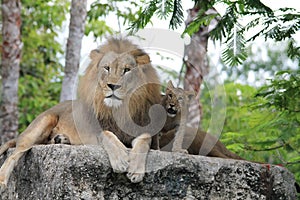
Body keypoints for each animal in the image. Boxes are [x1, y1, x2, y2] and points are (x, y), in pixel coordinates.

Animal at [0, 38, 164, 185]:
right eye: (107, 68)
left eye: (127, 70)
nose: (113, 86)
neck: (119, 110)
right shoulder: (93, 134)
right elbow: (107, 134)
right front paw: (120, 160)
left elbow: (145, 140)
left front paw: (136, 171)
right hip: (43, 122)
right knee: (15, 153)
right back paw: (3, 180)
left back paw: (61, 139)